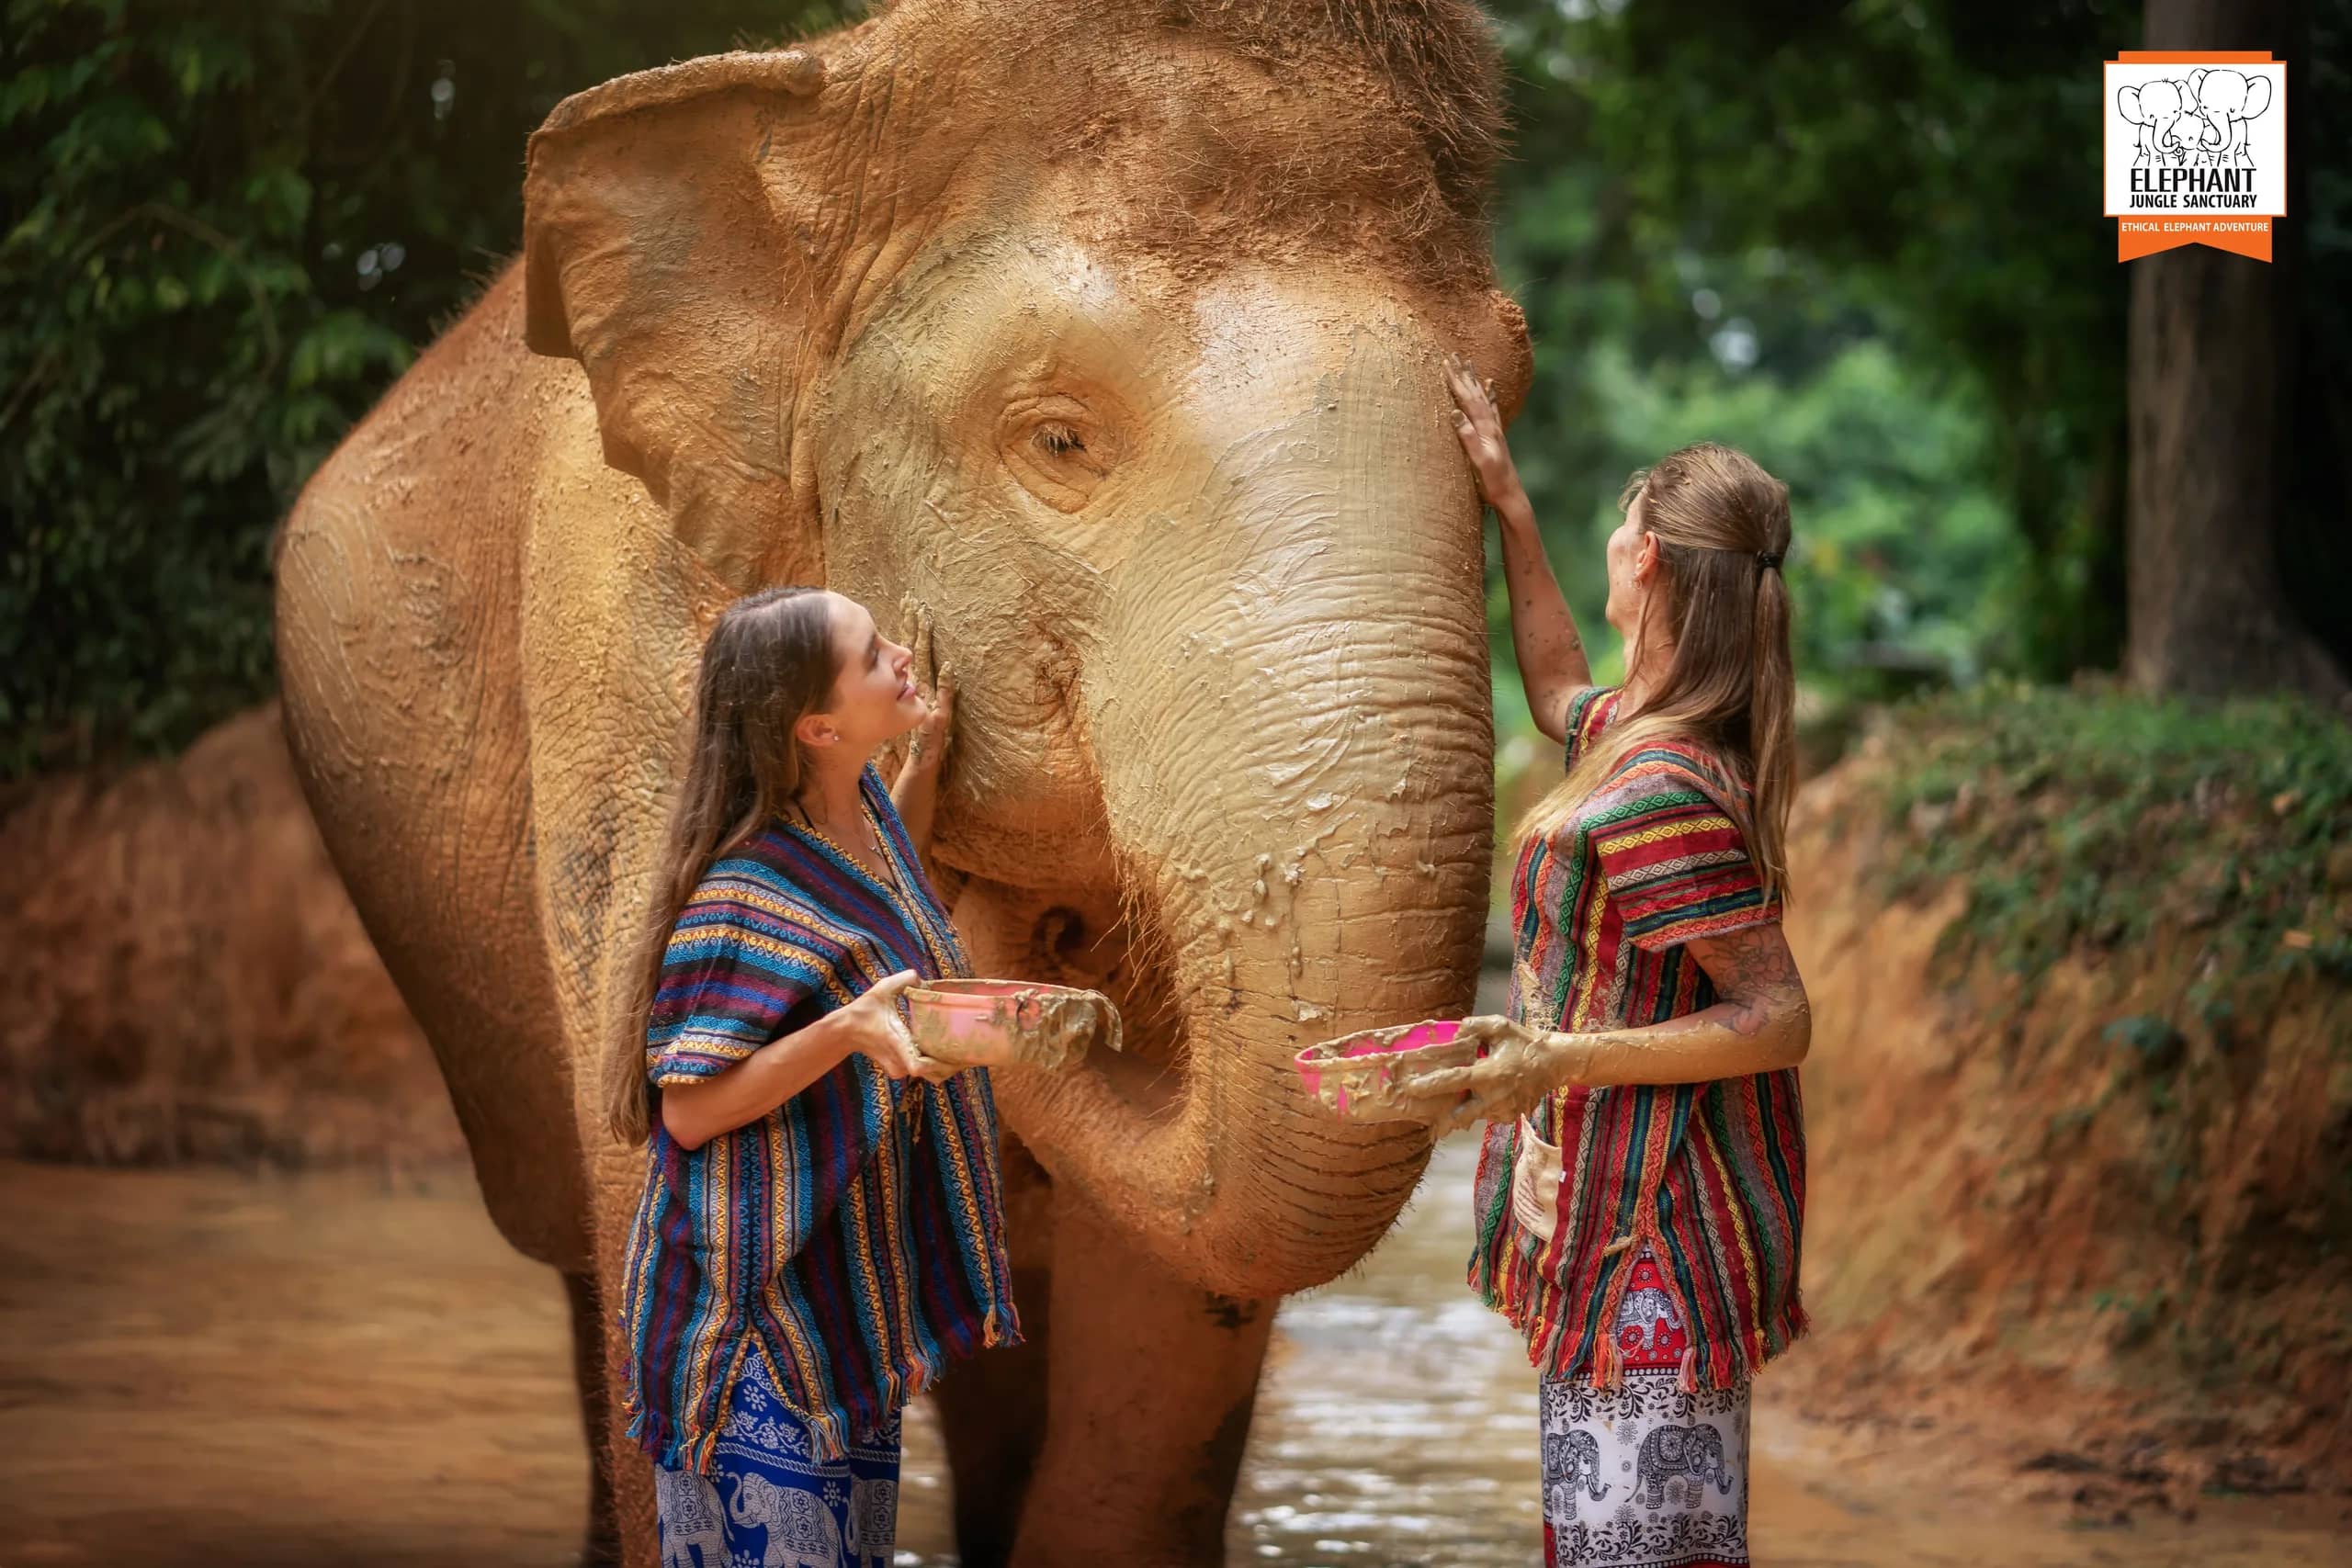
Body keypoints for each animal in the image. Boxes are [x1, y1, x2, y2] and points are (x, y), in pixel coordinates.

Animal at [272, 2, 1528, 1563]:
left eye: (1504, 402)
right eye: (1057, 436)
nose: (1039, 947)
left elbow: (1180, 1305)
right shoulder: (623, 631)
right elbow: (658, 1144)